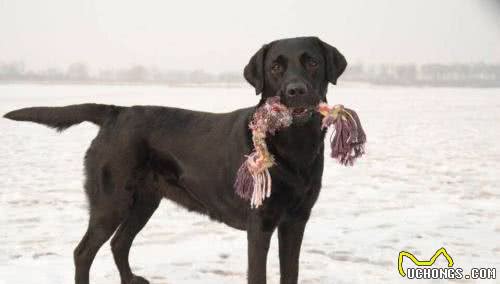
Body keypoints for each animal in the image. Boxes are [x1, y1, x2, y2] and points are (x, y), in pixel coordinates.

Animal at [3, 36, 348, 282]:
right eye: (275, 67)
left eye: (312, 62)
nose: (295, 91)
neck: (294, 145)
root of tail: (116, 111)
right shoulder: (260, 223)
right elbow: (258, 275)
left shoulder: (296, 220)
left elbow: (291, 273)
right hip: (111, 201)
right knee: (83, 252)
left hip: (145, 200)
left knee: (119, 243)